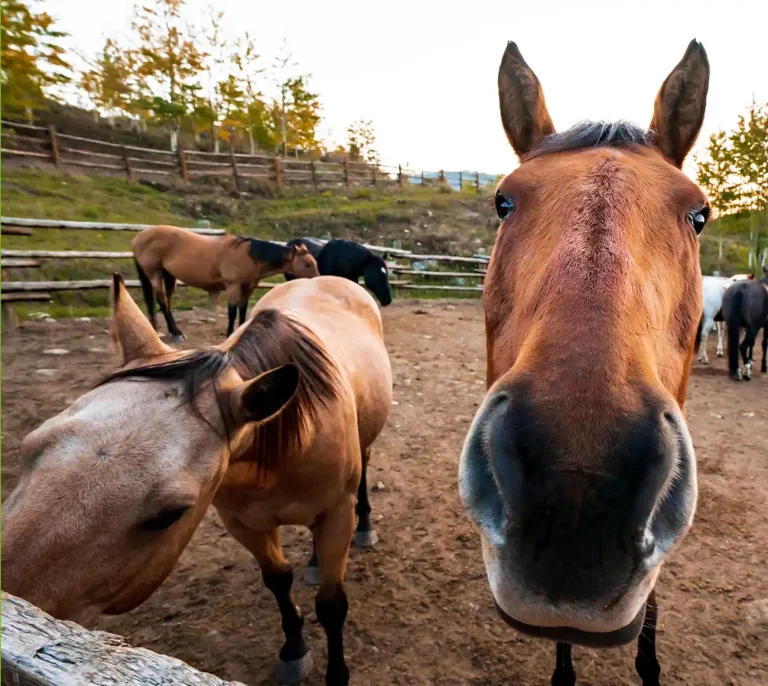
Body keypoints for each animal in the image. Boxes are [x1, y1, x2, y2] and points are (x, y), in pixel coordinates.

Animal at [1, 273, 392, 686]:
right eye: (31, 444)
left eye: (170, 514)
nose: (16, 607)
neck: (288, 441)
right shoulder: (243, 523)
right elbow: (278, 579)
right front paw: (293, 649)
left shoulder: (336, 516)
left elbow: (331, 606)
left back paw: (364, 527)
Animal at [131, 225, 319, 341]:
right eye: (307, 264)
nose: (319, 280)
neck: (249, 256)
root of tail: (138, 237)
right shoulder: (233, 286)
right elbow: (232, 312)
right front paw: (229, 333)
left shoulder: (248, 288)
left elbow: (243, 311)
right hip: (154, 274)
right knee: (162, 301)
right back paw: (177, 333)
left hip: (169, 276)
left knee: (166, 302)